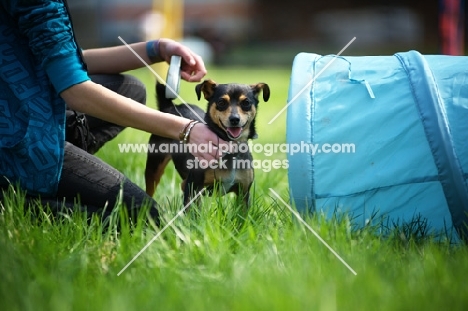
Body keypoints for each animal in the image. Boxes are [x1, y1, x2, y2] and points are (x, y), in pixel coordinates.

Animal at [146, 79, 270, 211]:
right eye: (221, 102)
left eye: (246, 102)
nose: (234, 119)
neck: (231, 149)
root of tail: (170, 107)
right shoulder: (191, 187)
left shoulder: (244, 193)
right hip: (154, 167)